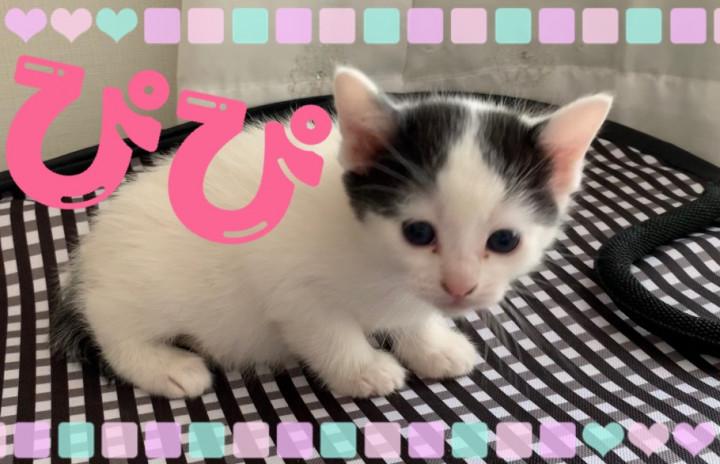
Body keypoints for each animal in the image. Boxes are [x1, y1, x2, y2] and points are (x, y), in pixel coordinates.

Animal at [50, 67, 612, 399]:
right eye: (418, 231)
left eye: (504, 241)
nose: (459, 287)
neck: (374, 258)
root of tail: (89, 258)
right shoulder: (291, 285)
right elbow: (325, 329)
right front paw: (363, 371)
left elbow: (412, 318)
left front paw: (433, 345)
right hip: (145, 285)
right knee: (110, 322)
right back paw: (164, 364)